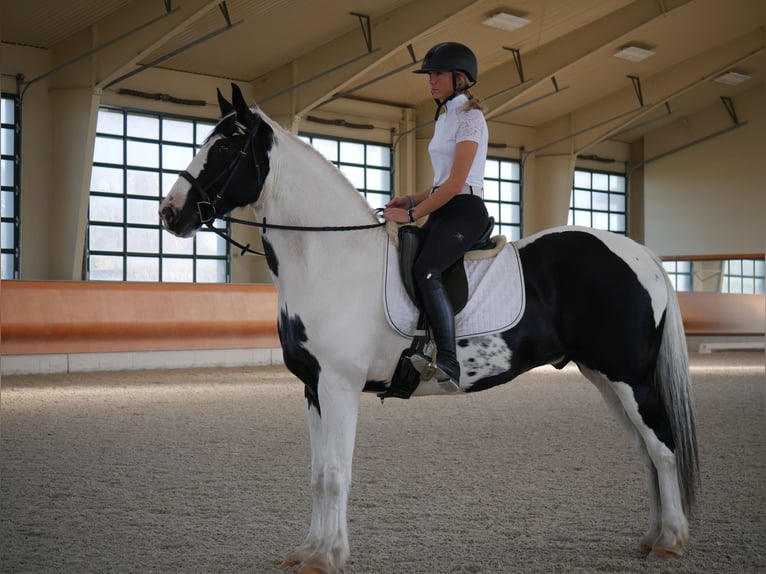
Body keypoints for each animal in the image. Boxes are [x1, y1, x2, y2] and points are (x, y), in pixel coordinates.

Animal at [162, 84, 704, 574]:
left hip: (627, 376)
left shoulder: (339, 385)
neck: (330, 259)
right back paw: (651, 536)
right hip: (603, 376)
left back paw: (671, 541)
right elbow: (317, 474)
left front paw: (327, 558)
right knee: (644, 450)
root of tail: (640, 254)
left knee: (662, 447)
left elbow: (336, 474)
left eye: (225, 147)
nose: (171, 213)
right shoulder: (314, 388)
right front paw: (309, 551)